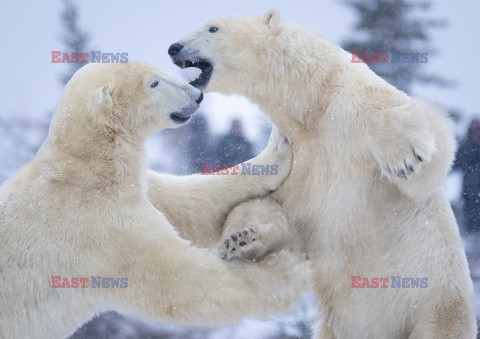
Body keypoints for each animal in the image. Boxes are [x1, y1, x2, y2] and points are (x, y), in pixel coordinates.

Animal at [0, 61, 312, 339]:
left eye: (157, 72)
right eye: (154, 83)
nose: (197, 95)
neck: (82, 168)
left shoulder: (136, 187)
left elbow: (189, 202)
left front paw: (276, 150)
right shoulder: (97, 227)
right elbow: (180, 281)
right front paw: (287, 268)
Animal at [165, 9, 476, 338]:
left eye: (213, 28)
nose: (174, 47)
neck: (312, 106)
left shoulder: (350, 102)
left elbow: (427, 152)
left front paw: (404, 158)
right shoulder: (300, 157)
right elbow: (274, 208)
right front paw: (239, 239)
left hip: (437, 305)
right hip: (341, 324)